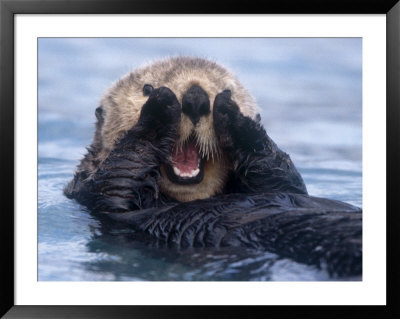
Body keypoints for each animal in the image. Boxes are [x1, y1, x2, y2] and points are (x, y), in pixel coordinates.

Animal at [64, 58, 360, 278]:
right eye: (145, 88)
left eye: (226, 89)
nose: (196, 98)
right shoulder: (94, 193)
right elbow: (119, 174)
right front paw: (160, 107)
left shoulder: (284, 184)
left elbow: (283, 176)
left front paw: (234, 117)